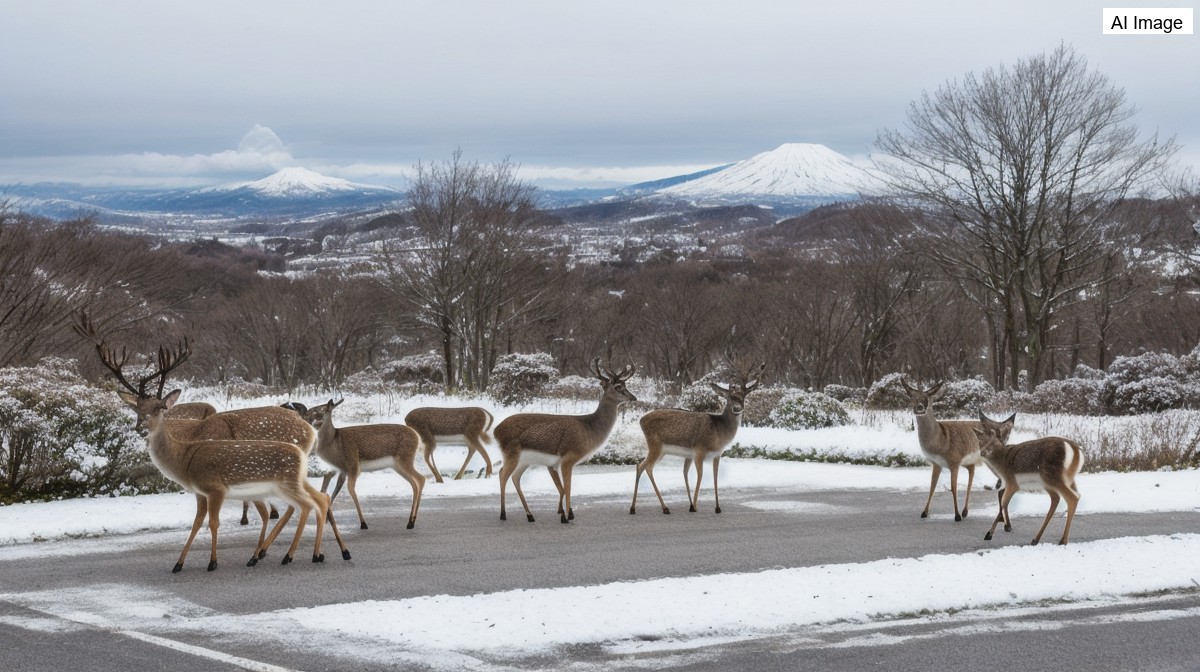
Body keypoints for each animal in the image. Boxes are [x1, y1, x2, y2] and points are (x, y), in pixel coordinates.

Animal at [305, 399, 425, 530]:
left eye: (320, 409)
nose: (307, 416)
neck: (334, 444)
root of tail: (417, 438)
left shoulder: (353, 465)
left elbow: (351, 490)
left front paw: (363, 523)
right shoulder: (343, 470)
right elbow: (334, 487)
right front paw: (326, 519)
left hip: (404, 459)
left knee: (420, 479)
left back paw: (410, 522)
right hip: (398, 465)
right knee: (417, 482)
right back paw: (411, 520)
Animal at [496, 358, 636, 524]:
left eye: (626, 385)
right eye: (618, 387)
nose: (633, 397)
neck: (589, 430)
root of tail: (496, 430)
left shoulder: (554, 464)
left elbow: (562, 488)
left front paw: (563, 512)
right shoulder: (568, 459)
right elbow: (567, 488)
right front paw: (567, 515)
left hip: (525, 460)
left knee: (514, 476)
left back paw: (530, 515)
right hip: (511, 453)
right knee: (503, 474)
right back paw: (503, 514)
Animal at [631, 363, 764, 515]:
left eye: (743, 397)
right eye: (730, 397)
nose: (737, 409)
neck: (719, 432)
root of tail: (641, 420)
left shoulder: (717, 454)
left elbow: (715, 477)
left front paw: (717, 507)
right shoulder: (699, 451)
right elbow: (700, 477)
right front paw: (693, 506)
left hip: (661, 450)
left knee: (641, 466)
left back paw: (640, 507)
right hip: (655, 445)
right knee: (645, 467)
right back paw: (656, 508)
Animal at [901, 379, 997, 522]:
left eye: (927, 397)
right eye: (911, 396)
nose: (919, 408)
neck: (940, 441)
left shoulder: (954, 461)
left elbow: (953, 487)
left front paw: (956, 515)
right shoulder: (936, 463)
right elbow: (932, 487)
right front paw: (924, 512)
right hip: (971, 463)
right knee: (972, 478)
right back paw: (965, 511)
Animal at [974, 413, 1084, 546]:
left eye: (994, 440)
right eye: (980, 440)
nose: (983, 452)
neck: (1001, 462)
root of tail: (1076, 450)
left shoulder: (1012, 481)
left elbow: (1004, 501)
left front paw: (995, 530)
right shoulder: (1011, 483)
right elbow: (1003, 499)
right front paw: (1001, 527)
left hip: (1052, 476)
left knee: (1072, 497)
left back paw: (1062, 541)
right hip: (1063, 480)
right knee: (1060, 498)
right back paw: (1037, 539)